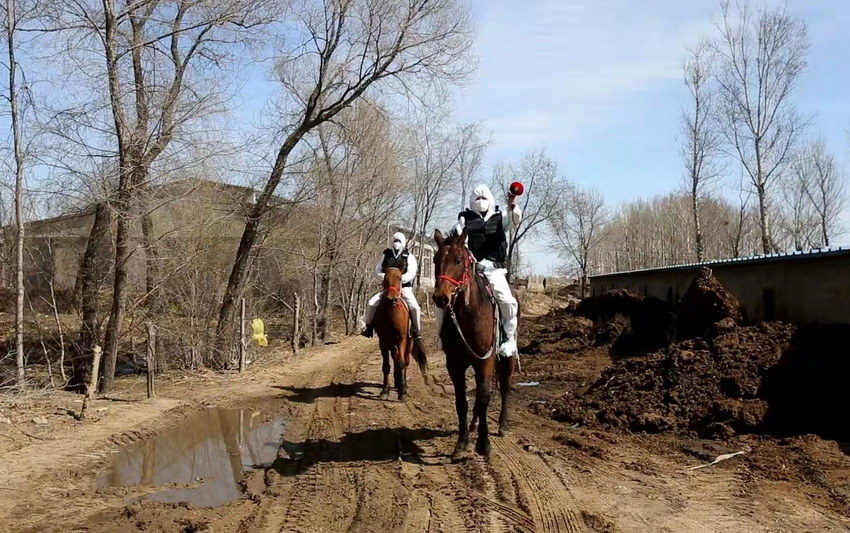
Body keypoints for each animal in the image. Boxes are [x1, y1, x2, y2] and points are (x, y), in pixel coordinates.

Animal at [374, 266, 428, 400]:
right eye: (385, 278)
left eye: (399, 278)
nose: (391, 298)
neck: (391, 312)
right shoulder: (383, 341)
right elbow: (386, 366)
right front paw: (385, 390)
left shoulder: (401, 338)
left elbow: (402, 362)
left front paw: (402, 391)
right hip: (392, 343)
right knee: (395, 358)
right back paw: (397, 382)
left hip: (409, 343)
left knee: (405, 360)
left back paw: (403, 384)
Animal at [430, 229, 510, 458]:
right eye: (435, 259)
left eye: (458, 260)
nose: (440, 298)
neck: (470, 316)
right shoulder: (455, 364)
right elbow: (462, 401)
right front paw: (462, 443)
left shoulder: (486, 361)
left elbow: (483, 397)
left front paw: (484, 443)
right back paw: (474, 425)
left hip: (504, 360)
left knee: (505, 387)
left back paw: (501, 425)